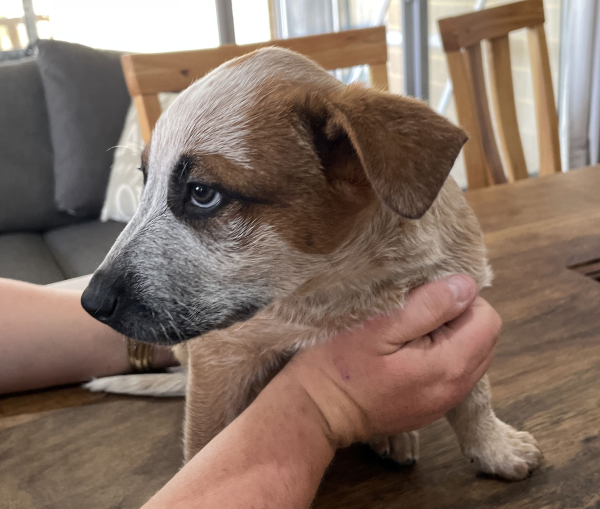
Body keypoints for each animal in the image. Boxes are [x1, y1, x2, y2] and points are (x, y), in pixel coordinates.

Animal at [81, 45, 544, 478]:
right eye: (145, 181)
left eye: (202, 192)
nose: (91, 302)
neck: (336, 286)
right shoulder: (221, 358)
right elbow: (205, 450)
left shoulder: (457, 301)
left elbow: (475, 395)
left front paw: (494, 448)